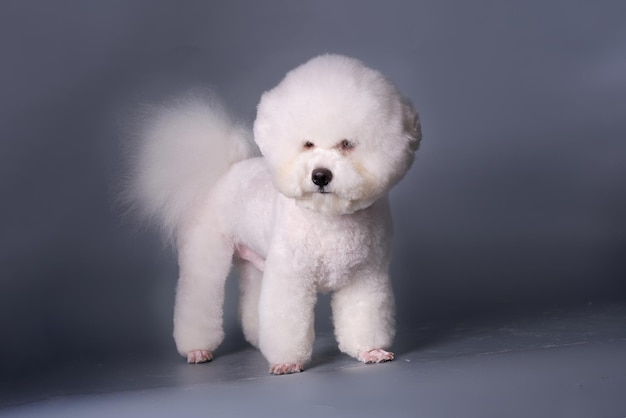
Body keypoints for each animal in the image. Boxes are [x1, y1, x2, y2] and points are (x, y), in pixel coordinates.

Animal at [125, 54, 422, 374]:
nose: (320, 176)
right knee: (197, 298)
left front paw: (370, 351)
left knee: (251, 302)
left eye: (347, 144)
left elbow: (364, 319)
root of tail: (226, 172)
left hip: (255, 262)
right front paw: (288, 362)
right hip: (207, 255)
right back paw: (197, 349)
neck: (330, 220)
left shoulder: (365, 278)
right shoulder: (291, 276)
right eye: (308, 144)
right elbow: (287, 321)